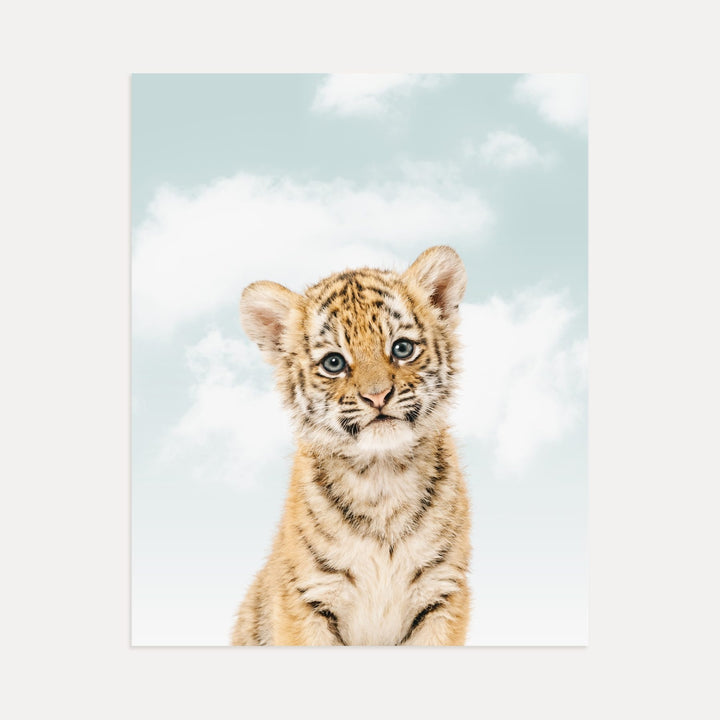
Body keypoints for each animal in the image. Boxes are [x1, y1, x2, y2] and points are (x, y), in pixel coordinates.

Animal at [230, 245, 471, 646]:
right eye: (334, 362)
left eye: (402, 348)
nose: (377, 396)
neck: (382, 475)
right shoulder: (306, 598)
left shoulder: (442, 593)